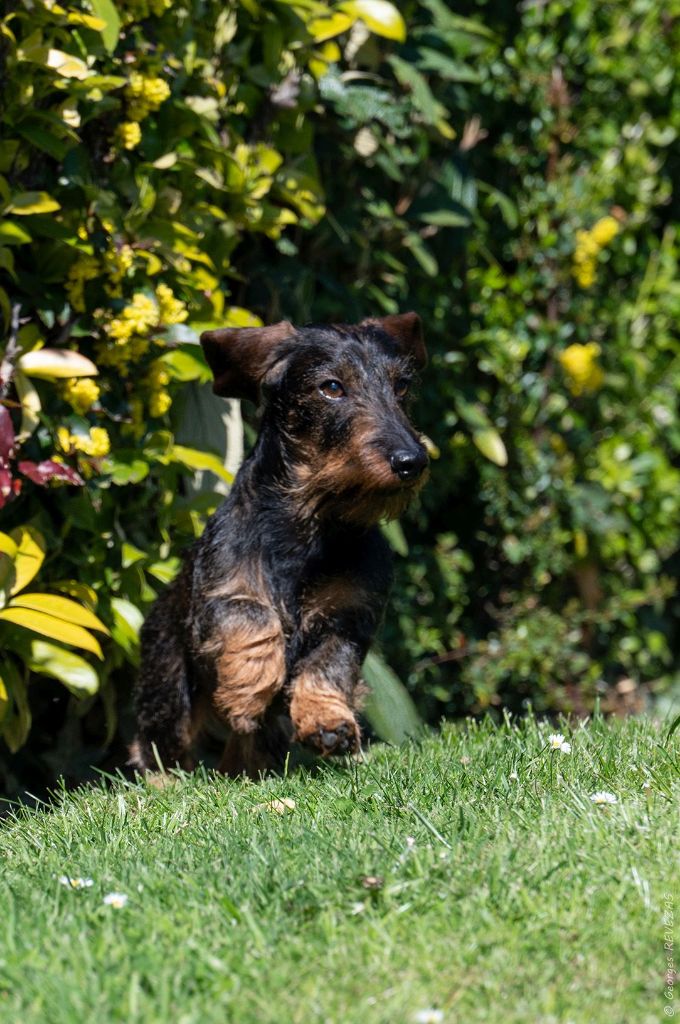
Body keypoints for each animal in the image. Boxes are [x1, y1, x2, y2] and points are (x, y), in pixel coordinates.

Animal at [130, 311, 428, 774]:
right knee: (160, 747)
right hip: (167, 689)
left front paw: (327, 721)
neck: (312, 523)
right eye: (331, 387)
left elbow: (329, 665)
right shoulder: (221, 594)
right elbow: (256, 617)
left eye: (401, 386)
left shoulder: (349, 617)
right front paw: (248, 690)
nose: (411, 461)